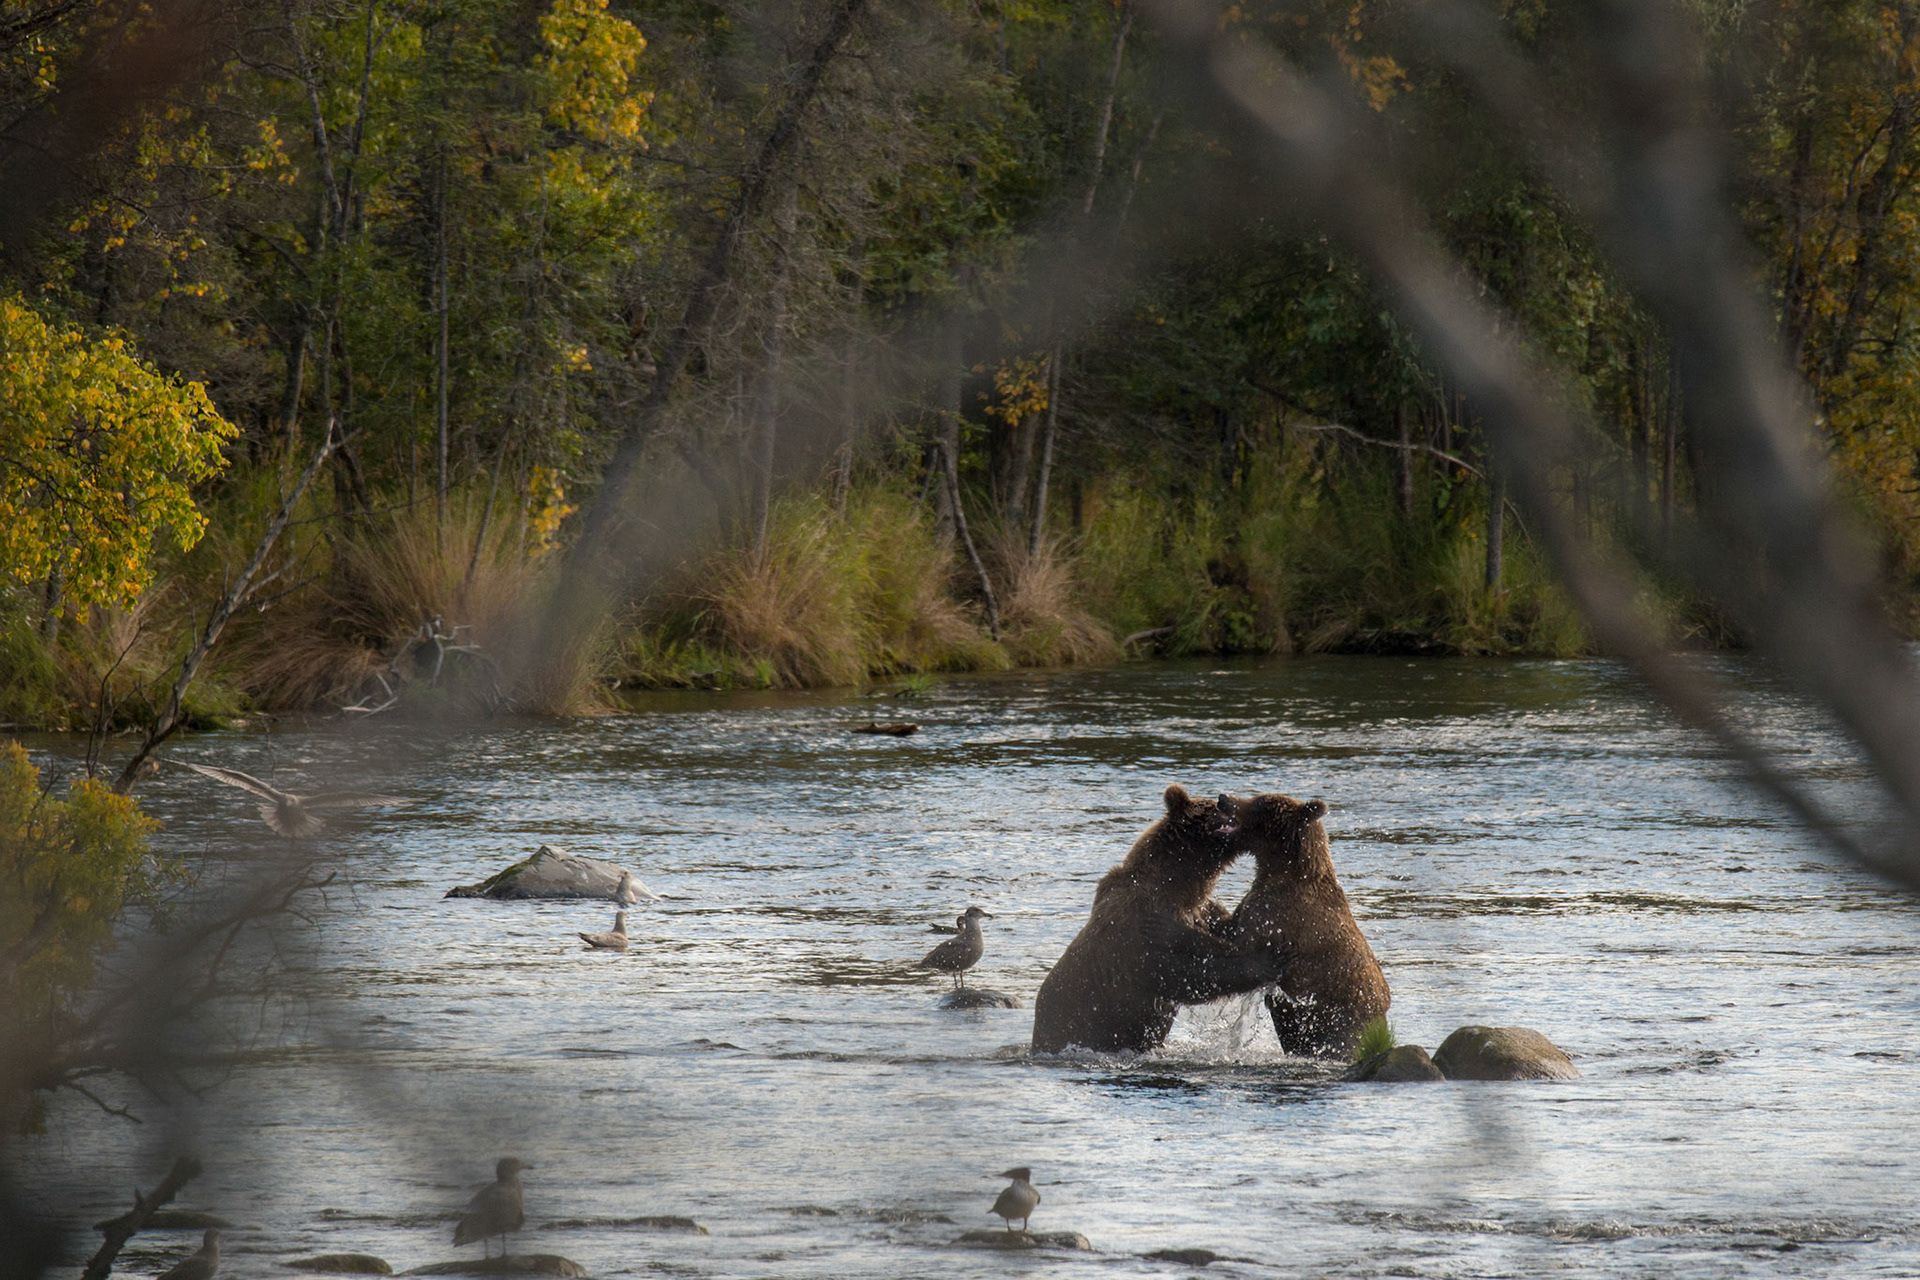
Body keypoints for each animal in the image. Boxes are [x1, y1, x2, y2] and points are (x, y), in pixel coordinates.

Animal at [1031, 785, 1287, 1054]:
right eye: (1215, 807)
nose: (1224, 800)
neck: (1178, 883)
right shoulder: (1136, 932)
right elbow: (1181, 973)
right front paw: (1263, 960)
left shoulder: (1200, 912)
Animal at [1216, 791, 1390, 1059]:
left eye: (1259, 802)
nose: (1223, 798)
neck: (1280, 871)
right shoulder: (1252, 905)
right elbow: (1229, 925)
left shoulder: (1276, 917)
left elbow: (1243, 946)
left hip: (1339, 1020)